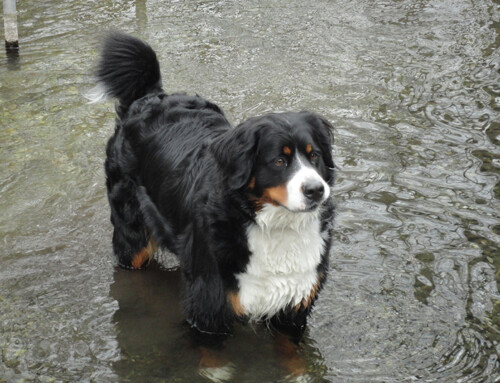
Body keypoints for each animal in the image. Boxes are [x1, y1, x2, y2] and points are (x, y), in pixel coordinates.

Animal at [93, 33, 336, 340]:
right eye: (279, 160)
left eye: (314, 155)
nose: (316, 190)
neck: (276, 226)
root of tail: (149, 97)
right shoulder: (209, 307)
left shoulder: (295, 307)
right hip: (131, 237)